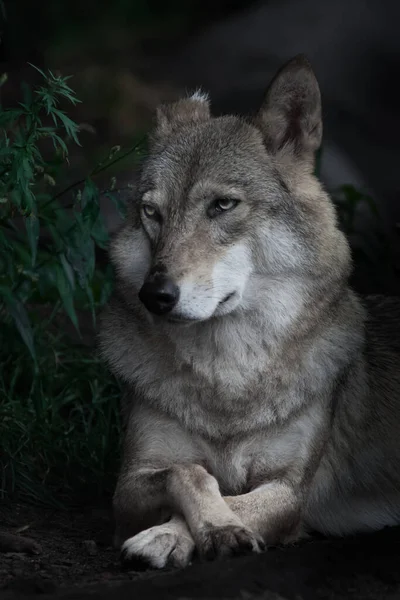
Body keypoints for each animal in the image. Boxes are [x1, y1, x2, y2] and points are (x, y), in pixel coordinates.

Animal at [99, 55, 400, 568]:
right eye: (152, 213)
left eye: (223, 205)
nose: (154, 294)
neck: (229, 382)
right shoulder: (129, 482)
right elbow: (191, 473)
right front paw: (194, 530)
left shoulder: (290, 491)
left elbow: (239, 501)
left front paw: (205, 530)